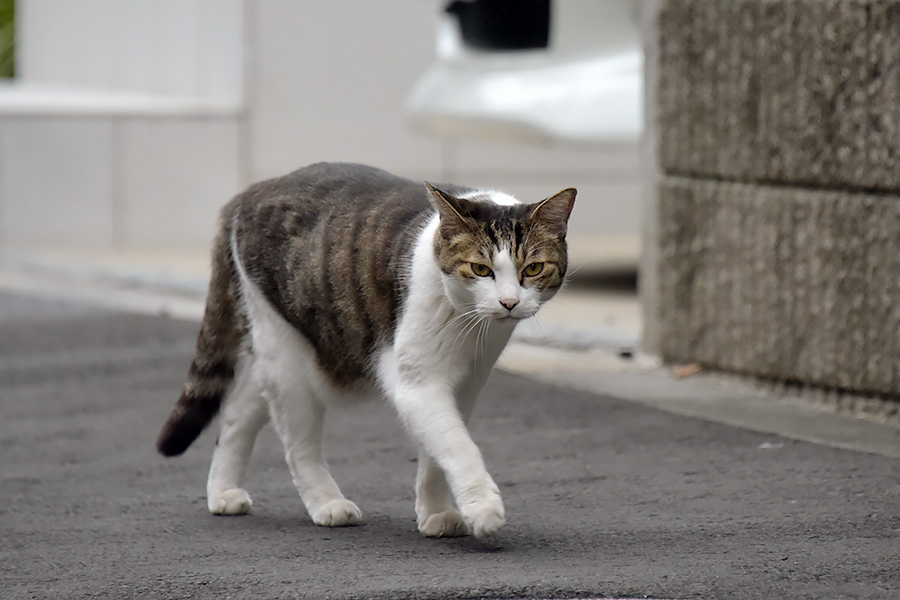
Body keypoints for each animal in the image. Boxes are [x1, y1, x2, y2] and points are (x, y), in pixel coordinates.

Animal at [156, 163, 576, 540]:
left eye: (533, 269)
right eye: (480, 269)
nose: (509, 303)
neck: (469, 326)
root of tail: (251, 190)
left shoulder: (466, 384)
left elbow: (437, 452)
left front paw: (436, 513)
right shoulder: (416, 382)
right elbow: (458, 446)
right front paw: (483, 508)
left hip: (280, 355)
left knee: (236, 412)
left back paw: (223, 493)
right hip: (285, 351)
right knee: (297, 445)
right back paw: (327, 504)